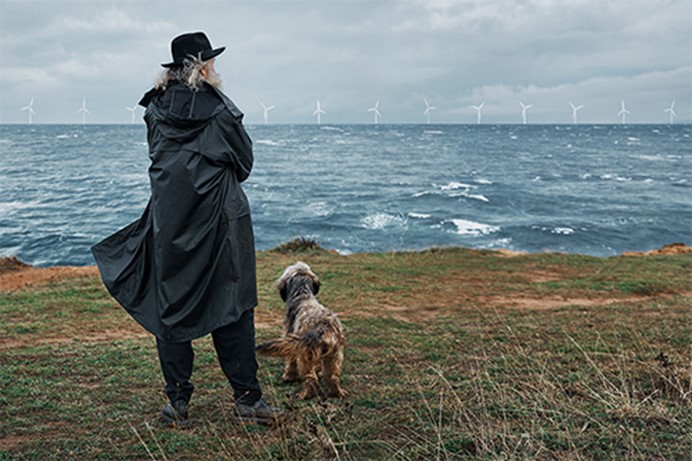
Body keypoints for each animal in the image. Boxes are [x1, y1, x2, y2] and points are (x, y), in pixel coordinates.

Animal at [255, 260, 346, 398]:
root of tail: (323, 327)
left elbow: (291, 360)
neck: (302, 294)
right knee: (332, 376)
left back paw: (306, 394)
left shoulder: (291, 338)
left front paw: (288, 376)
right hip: (335, 353)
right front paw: (319, 371)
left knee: (311, 378)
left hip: (305, 354)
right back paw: (336, 392)